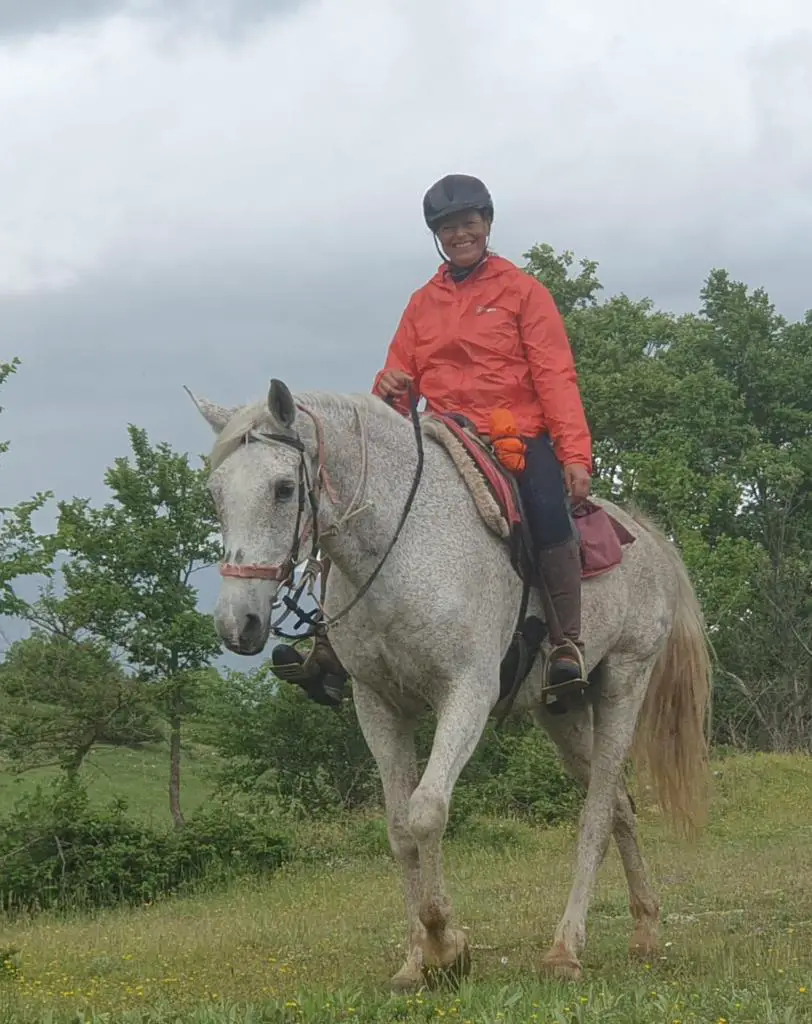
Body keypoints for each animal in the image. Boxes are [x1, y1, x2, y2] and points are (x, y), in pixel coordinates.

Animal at [186, 378, 711, 991]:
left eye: (283, 488)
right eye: (216, 494)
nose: (237, 624)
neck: (403, 547)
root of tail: (644, 536)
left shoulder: (466, 695)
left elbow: (426, 812)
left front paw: (445, 945)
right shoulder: (379, 706)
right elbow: (398, 829)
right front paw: (415, 960)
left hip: (623, 684)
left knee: (599, 814)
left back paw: (565, 948)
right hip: (562, 711)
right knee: (622, 807)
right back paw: (646, 929)